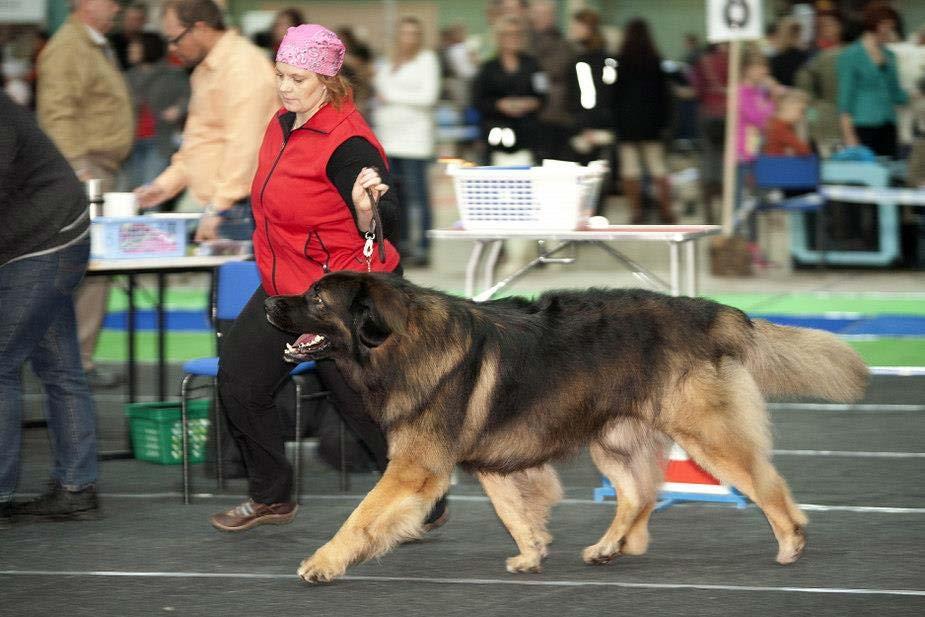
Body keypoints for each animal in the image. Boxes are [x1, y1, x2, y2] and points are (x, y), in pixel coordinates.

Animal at [266, 272, 868, 580]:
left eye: (316, 298)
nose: (270, 302)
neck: (396, 340)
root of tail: (712, 313)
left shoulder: (414, 469)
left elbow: (360, 517)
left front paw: (324, 562)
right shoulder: (489, 464)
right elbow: (514, 513)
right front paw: (532, 552)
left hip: (707, 437)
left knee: (765, 481)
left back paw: (791, 540)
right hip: (611, 440)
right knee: (639, 495)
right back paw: (608, 548)